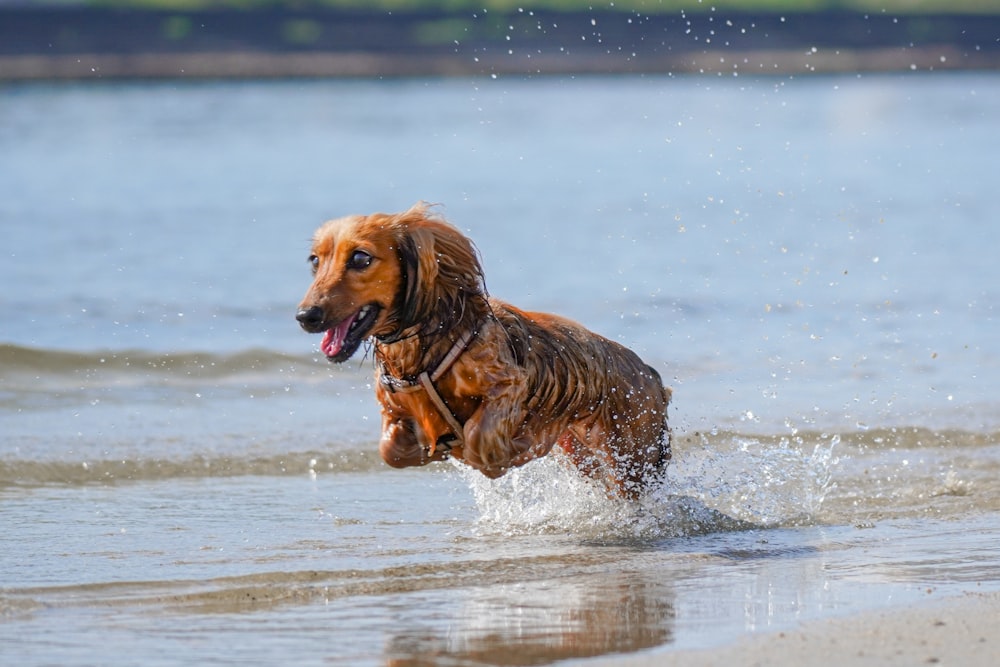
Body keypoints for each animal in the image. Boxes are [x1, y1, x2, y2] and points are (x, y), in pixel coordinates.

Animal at [296, 206, 672, 498]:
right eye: (315, 261)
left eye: (360, 258)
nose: (305, 316)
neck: (420, 353)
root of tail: (651, 373)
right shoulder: (393, 410)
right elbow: (390, 450)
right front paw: (428, 448)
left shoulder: (508, 384)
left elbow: (480, 442)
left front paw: (509, 450)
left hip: (631, 458)